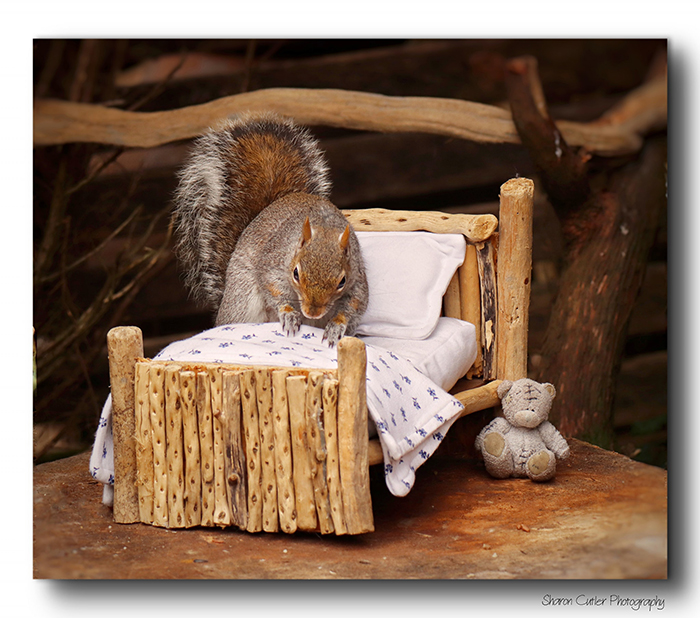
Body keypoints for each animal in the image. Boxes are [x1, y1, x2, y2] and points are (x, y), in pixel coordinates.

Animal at [172, 112, 368, 346]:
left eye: (342, 282)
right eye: (295, 273)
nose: (312, 313)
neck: (324, 228)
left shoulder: (357, 277)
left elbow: (355, 304)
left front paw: (336, 326)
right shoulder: (273, 260)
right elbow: (272, 286)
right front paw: (288, 313)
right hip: (243, 299)